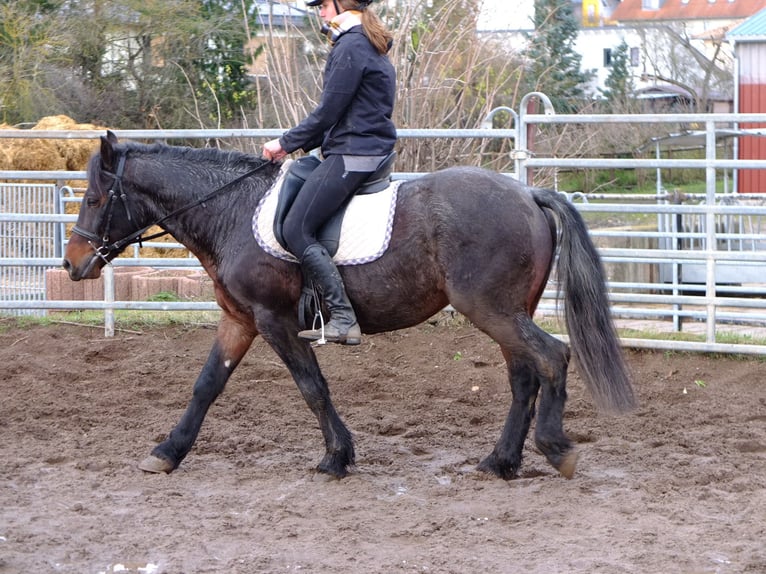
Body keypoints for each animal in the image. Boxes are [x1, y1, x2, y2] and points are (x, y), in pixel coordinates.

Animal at [61, 133, 636, 484]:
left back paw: (555, 448)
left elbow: (312, 387)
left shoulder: (273, 321)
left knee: (553, 358)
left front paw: (337, 457)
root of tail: (529, 194)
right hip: (508, 312)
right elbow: (207, 385)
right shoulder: (240, 320)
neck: (230, 210)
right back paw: (500, 462)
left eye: (92, 199)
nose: (72, 264)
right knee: (525, 376)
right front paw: (167, 452)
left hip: (491, 309)